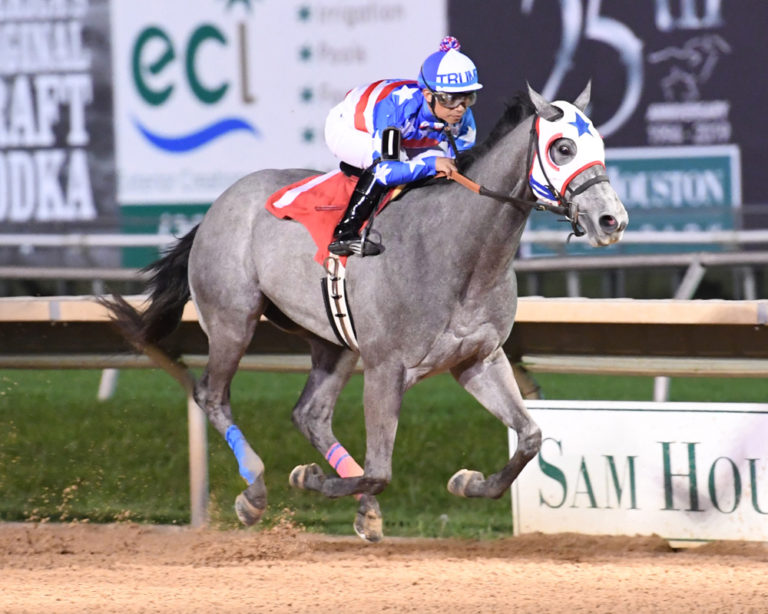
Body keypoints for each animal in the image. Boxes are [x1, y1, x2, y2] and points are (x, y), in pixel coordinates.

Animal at [103, 83, 628, 542]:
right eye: (562, 148)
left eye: (600, 144)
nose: (612, 220)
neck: (459, 249)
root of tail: (217, 206)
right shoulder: (385, 367)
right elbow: (379, 471)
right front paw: (310, 479)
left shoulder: (478, 358)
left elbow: (531, 437)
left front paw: (467, 482)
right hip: (233, 319)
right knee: (211, 394)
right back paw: (254, 491)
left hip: (331, 341)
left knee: (310, 413)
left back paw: (359, 506)